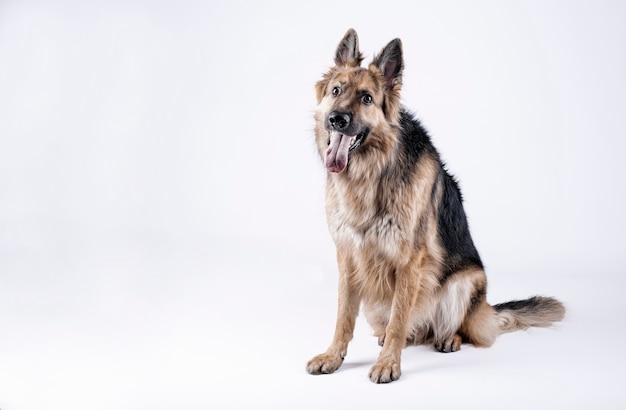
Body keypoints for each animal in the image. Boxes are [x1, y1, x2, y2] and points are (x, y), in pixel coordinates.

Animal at [304, 29, 564, 384]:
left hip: (466, 283)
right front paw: (333, 356)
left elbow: (400, 318)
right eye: (336, 91)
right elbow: (343, 317)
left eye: (367, 98)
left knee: (456, 329)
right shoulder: (347, 257)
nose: (336, 119)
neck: (372, 174)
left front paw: (389, 364)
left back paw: (447, 338)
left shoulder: (409, 262)